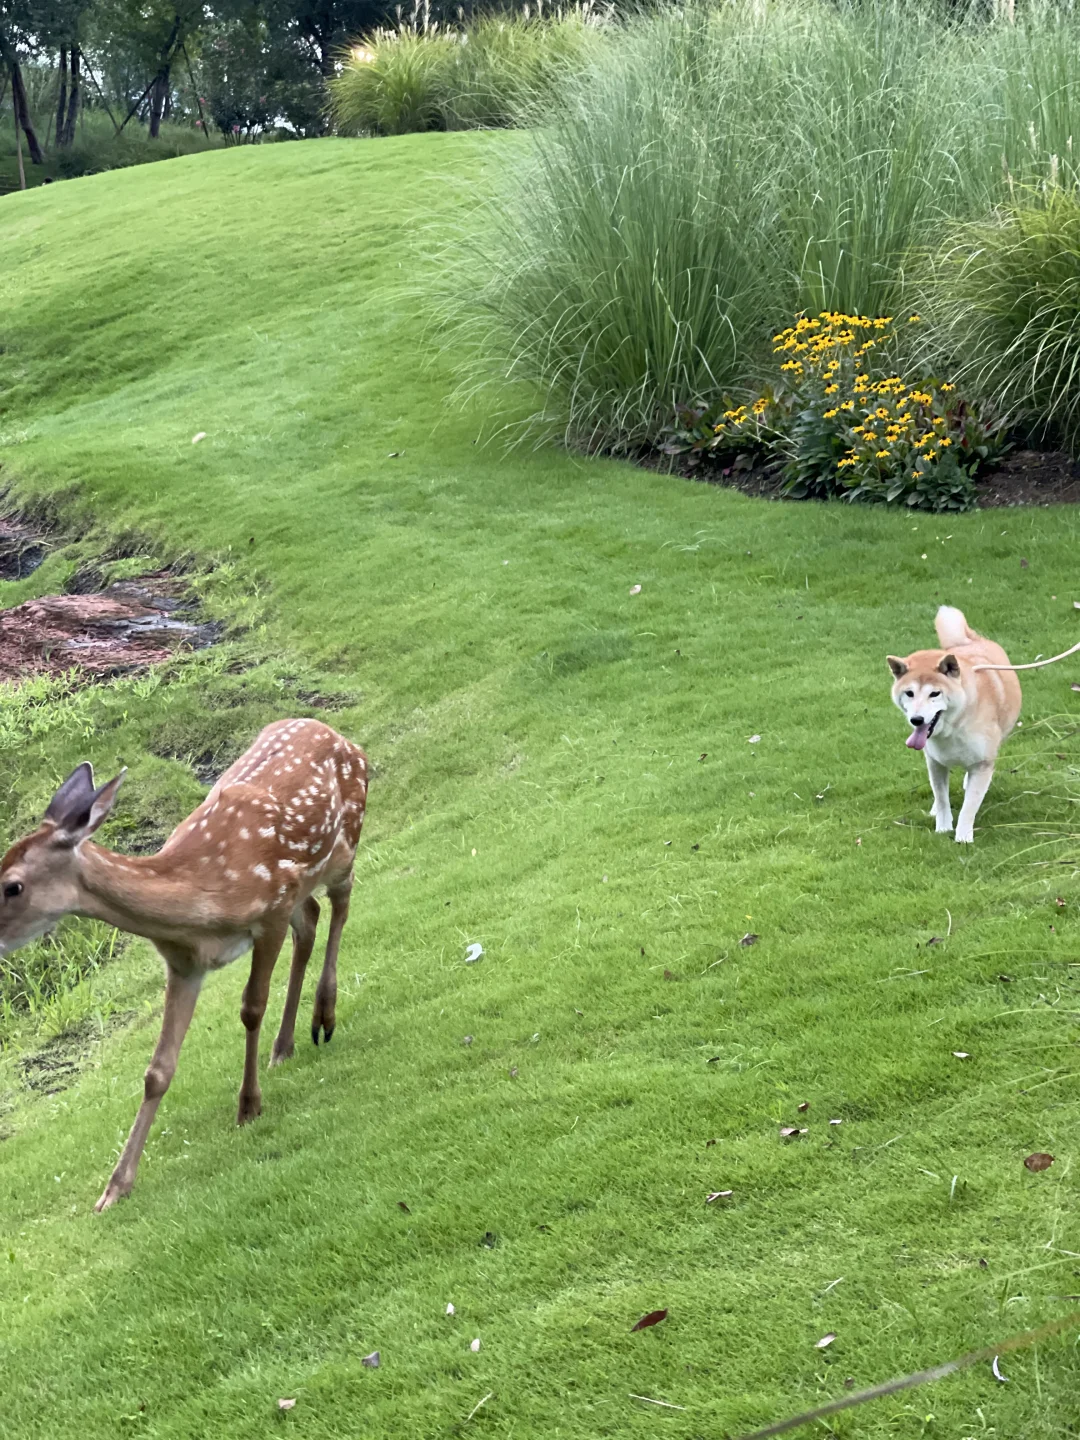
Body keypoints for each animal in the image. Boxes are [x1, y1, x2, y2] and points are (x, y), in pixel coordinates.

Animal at [0, 714, 368, 1209]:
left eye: (13, 886)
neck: (203, 895)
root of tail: (336, 733)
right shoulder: (184, 962)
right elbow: (157, 1070)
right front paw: (115, 1188)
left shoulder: (270, 909)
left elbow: (252, 1007)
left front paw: (248, 1106)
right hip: (302, 883)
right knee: (310, 919)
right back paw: (283, 1046)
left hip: (345, 839)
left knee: (341, 904)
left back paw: (323, 1016)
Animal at [887, 604, 1025, 840]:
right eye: (909, 693)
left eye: (934, 693)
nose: (917, 719)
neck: (954, 728)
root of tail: (969, 642)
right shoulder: (935, 762)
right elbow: (942, 799)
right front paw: (943, 828)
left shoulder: (982, 763)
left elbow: (969, 806)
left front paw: (963, 837)